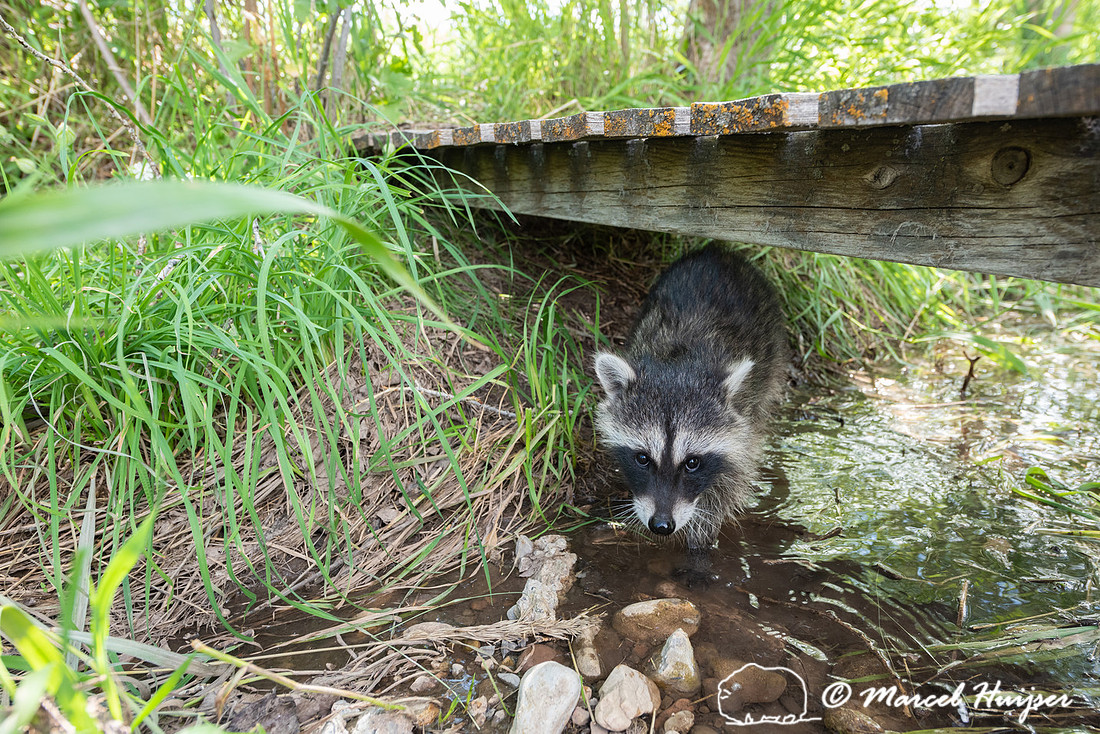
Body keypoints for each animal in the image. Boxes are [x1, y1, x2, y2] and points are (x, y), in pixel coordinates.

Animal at [594, 244, 788, 557]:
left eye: (693, 462)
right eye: (642, 458)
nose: (661, 525)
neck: (679, 363)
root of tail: (719, 251)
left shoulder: (744, 418)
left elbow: (731, 480)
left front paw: (701, 542)